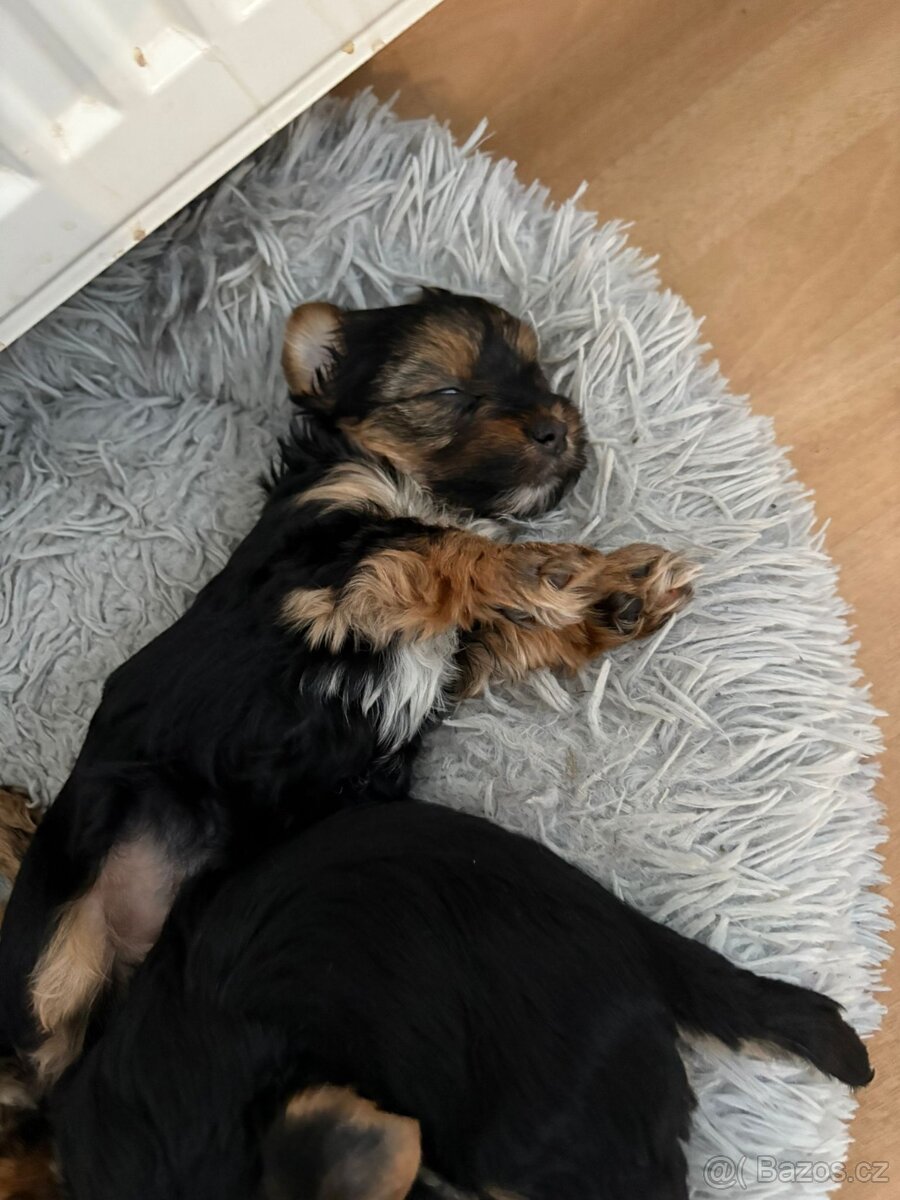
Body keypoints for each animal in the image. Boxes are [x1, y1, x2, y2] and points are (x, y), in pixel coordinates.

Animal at [0, 290, 696, 1087]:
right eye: (447, 393)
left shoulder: (455, 648)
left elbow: (502, 620)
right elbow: (442, 549)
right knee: (39, 1045)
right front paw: (558, 567)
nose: (555, 425)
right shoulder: (333, 575)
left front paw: (621, 596)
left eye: (536, 371)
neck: (422, 487)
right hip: (59, 931)